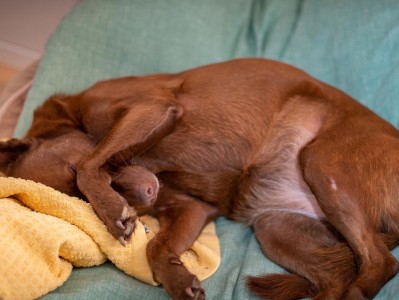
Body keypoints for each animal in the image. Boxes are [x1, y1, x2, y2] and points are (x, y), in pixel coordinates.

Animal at [0, 57, 399, 298]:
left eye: (72, 174)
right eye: (77, 205)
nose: (147, 193)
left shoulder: (152, 108)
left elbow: (89, 165)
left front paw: (114, 214)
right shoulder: (192, 208)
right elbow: (156, 248)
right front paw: (179, 282)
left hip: (320, 166)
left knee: (380, 264)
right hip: (275, 229)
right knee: (340, 276)